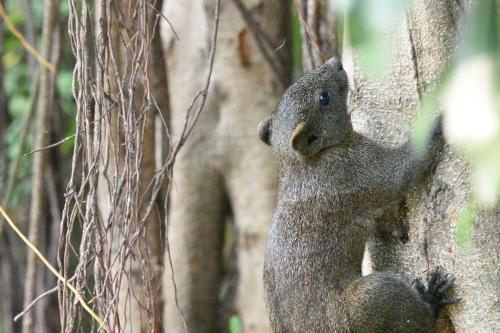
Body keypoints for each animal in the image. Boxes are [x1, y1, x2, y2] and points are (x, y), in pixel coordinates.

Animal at [260, 58, 458, 330]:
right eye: (324, 98)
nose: (335, 62)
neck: (301, 164)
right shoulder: (356, 170)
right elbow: (399, 173)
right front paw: (436, 124)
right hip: (373, 299)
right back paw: (432, 300)